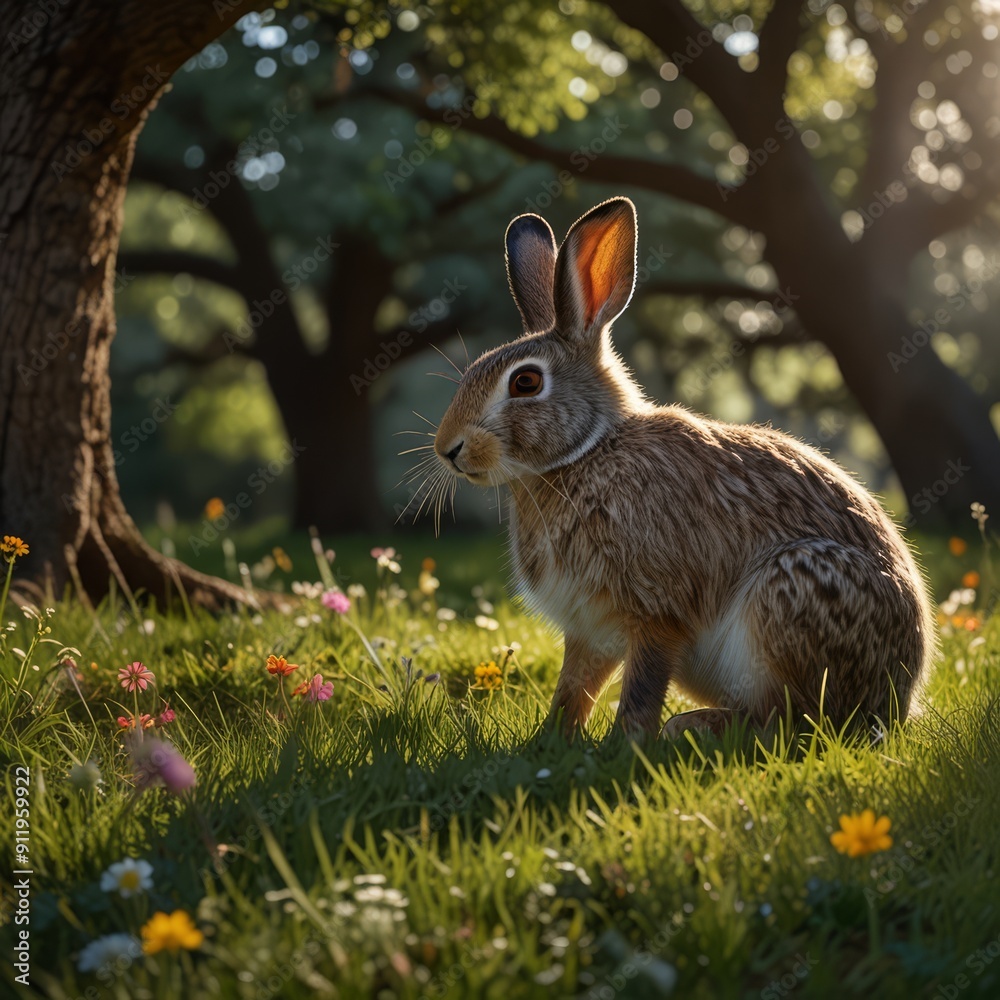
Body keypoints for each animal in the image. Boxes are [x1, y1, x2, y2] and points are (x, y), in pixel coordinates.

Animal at [432, 196, 934, 739]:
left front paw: (624, 743)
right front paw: (551, 741)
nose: (447, 448)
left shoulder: (656, 611)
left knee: (791, 719)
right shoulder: (589, 628)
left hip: (791, 592)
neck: (588, 452)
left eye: (525, 382)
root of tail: (897, 700)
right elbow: (574, 687)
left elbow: (642, 685)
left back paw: (692, 727)